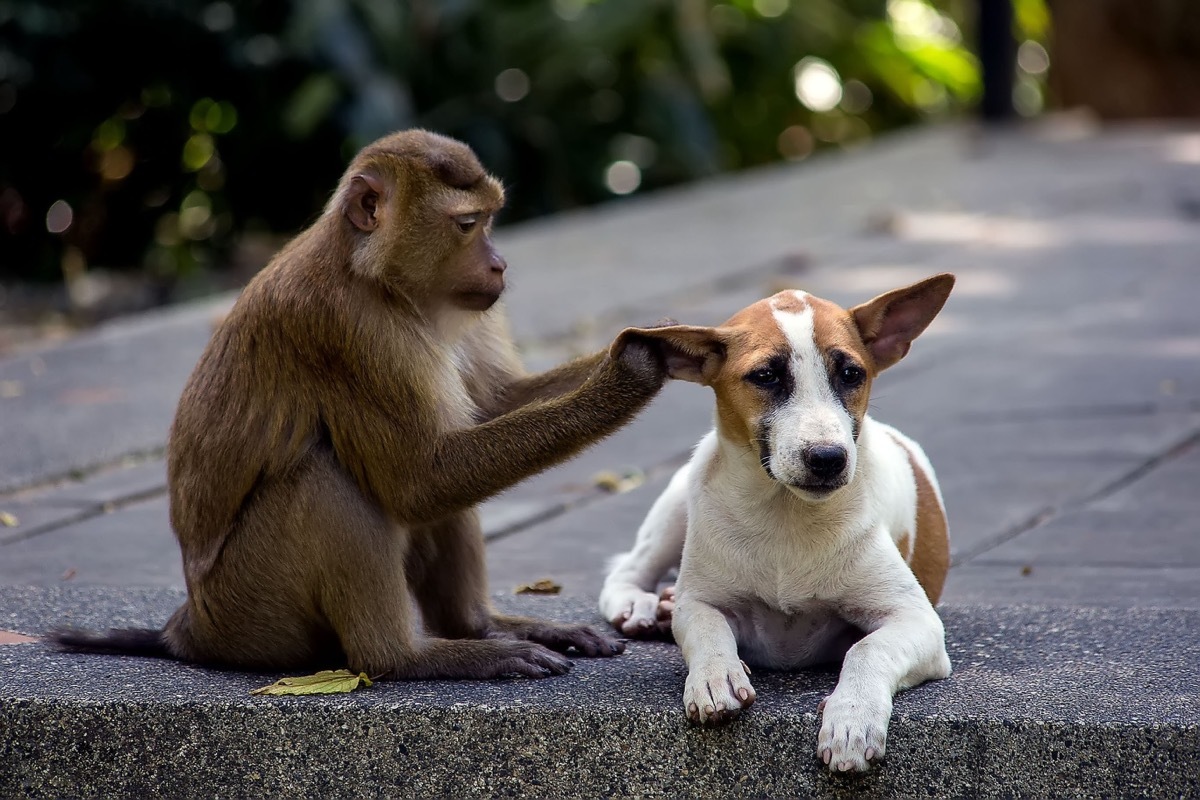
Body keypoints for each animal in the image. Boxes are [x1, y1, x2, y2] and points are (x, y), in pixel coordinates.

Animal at [51, 128, 672, 681]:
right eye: (468, 224)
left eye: (490, 220)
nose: (499, 264)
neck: (378, 279)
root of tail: (189, 628)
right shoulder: (347, 331)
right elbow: (419, 479)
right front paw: (625, 377)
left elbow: (489, 408)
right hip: (252, 608)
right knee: (328, 475)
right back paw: (408, 657)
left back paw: (479, 627)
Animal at [600, 273, 955, 767]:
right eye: (765, 375)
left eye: (851, 374)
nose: (828, 459)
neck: (785, 513)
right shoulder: (701, 601)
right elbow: (706, 627)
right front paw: (715, 676)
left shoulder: (917, 621)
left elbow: (867, 648)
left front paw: (852, 718)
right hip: (677, 504)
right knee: (629, 568)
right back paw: (642, 604)